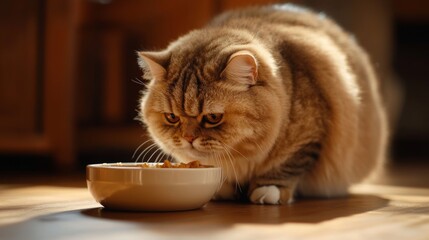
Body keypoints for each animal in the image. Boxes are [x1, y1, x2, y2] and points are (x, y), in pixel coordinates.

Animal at [137, 3, 388, 204]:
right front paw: (223, 189)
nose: (188, 138)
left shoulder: (309, 137)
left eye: (213, 118)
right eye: (172, 117)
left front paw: (269, 191)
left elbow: (285, 167)